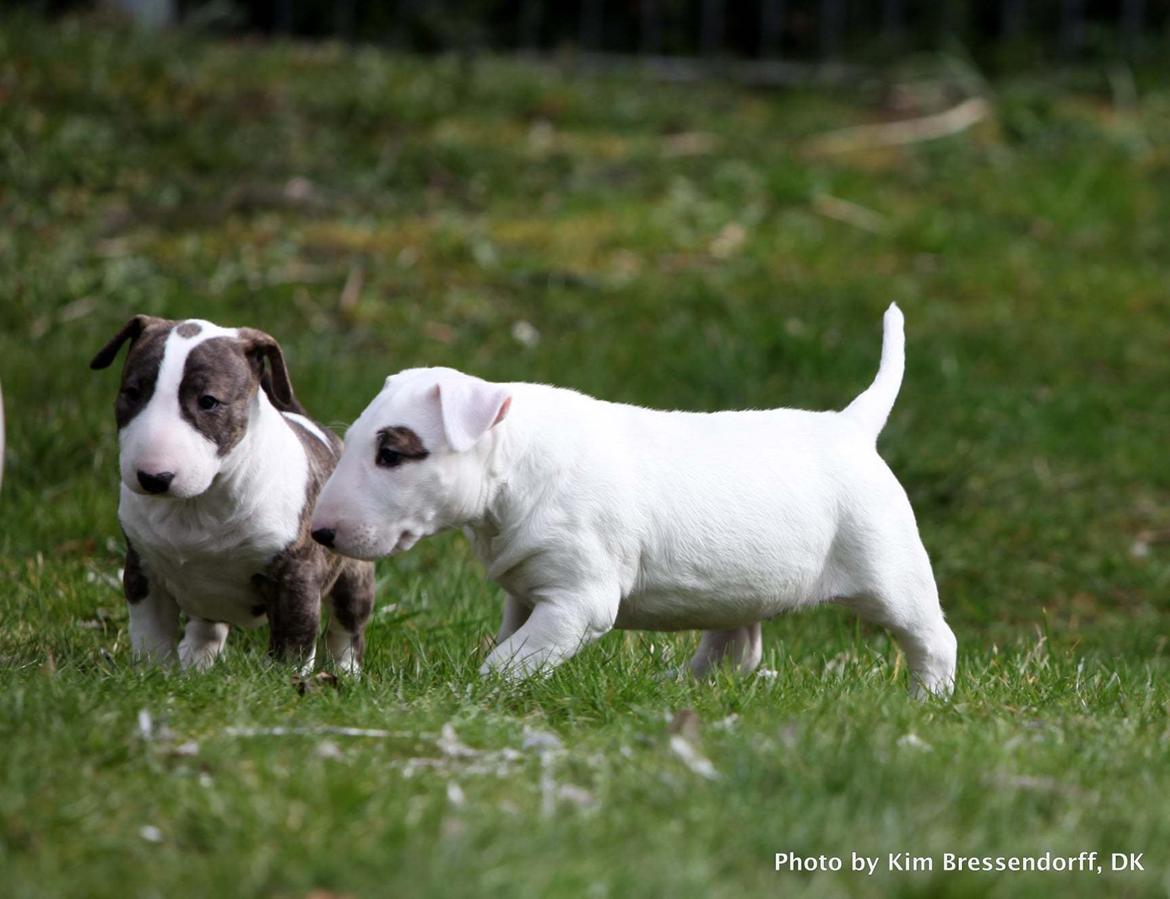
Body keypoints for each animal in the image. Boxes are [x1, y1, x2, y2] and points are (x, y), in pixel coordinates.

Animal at [91, 316, 374, 674]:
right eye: (131, 392)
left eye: (209, 401)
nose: (153, 478)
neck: (197, 504)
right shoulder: (144, 570)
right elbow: (151, 635)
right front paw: (154, 674)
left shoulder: (296, 576)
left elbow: (293, 643)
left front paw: (289, 682)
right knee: (207, 628)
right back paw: (195, 665)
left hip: (353, 574)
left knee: (347, 628)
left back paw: (345, 673)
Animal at [315, 304, 954, 697]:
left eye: (393, 454)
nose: (320, 534)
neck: (519, 467)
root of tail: (852, 427)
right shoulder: (525, 594)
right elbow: (511, 638)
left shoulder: (578, 601)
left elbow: (508, 658)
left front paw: (476, 691)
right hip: (739, 587)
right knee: (736, 650)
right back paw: (683, 686)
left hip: (889, 569)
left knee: (932, 638)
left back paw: (927, 701)